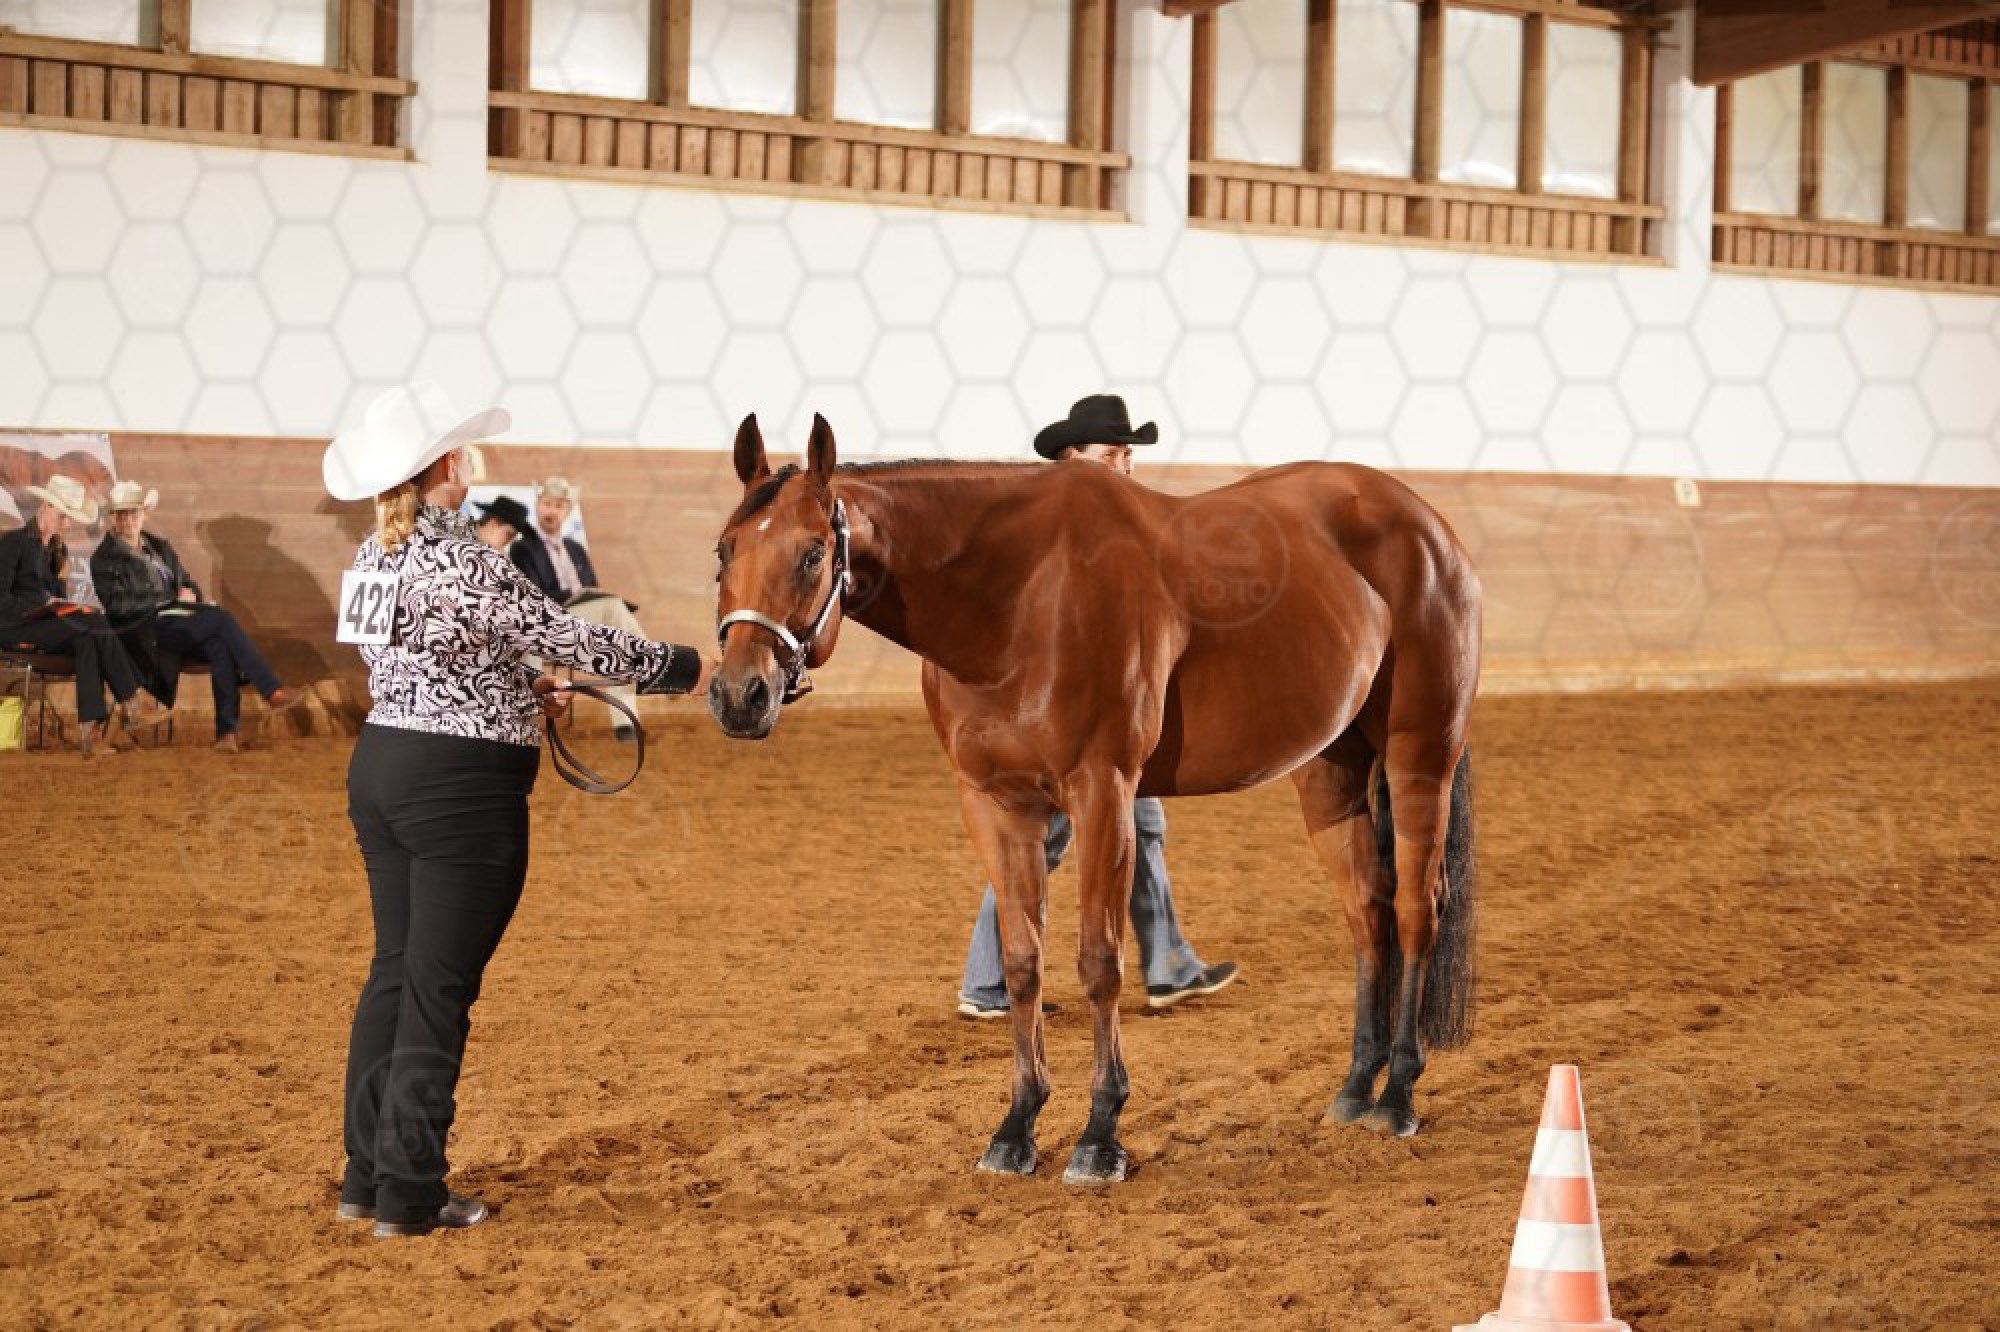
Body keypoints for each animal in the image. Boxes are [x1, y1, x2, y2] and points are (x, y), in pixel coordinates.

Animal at [708, 413, 1481, 1184]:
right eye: (724, 550)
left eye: (813, 554)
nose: (741, 695)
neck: (1017, 597)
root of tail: (1429, 527)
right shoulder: (995, 805)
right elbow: (1023, 961)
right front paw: (1017, 1126)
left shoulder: (1102, 791)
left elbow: (1099, 962)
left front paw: (1100, 1133)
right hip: (1330, 772)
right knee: (1367, 913)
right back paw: (1355, 1089)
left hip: (1419, 755)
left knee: (1415, 908)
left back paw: (1398, 1095)